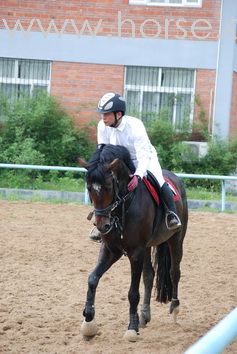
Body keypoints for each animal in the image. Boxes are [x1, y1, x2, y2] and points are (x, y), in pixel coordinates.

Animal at [78, 145, 188, 342]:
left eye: (108, 187)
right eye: (89, 188)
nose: (102, 226)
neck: (124, 203)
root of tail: (176, 179)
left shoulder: (135, 252)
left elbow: (132, 293)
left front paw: (131, 328)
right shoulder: (111, 250)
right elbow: (92, 279)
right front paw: (88, 321)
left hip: (176, 240)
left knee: (174, 272)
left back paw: (174, 308)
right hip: (147, 247)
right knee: (149, 276)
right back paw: (144, 316)